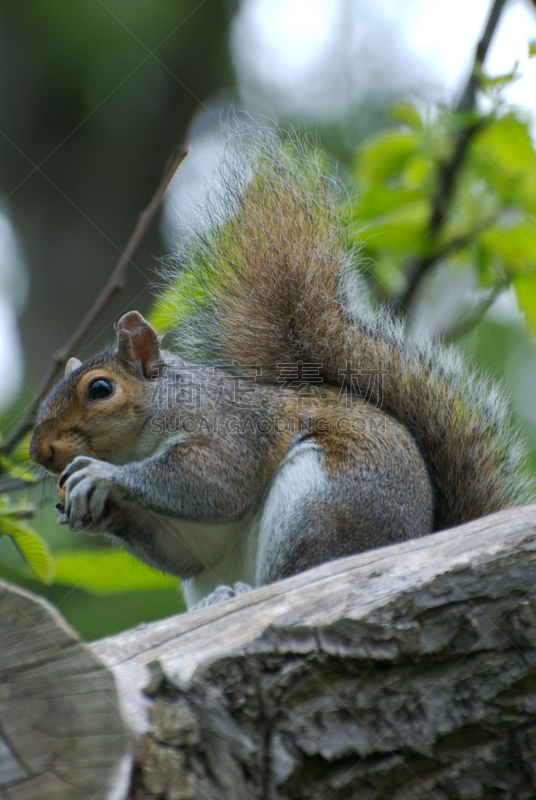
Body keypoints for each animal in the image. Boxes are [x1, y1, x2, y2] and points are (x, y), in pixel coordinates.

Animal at [28, 134, 528, 608]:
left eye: (99, 389)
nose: (39, 452)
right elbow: (191, 550)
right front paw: (97, 510)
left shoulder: (231, 425)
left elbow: (218, 481)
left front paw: (101, 476)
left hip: (321, 506)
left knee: (299, 577)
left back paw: (241, 594)